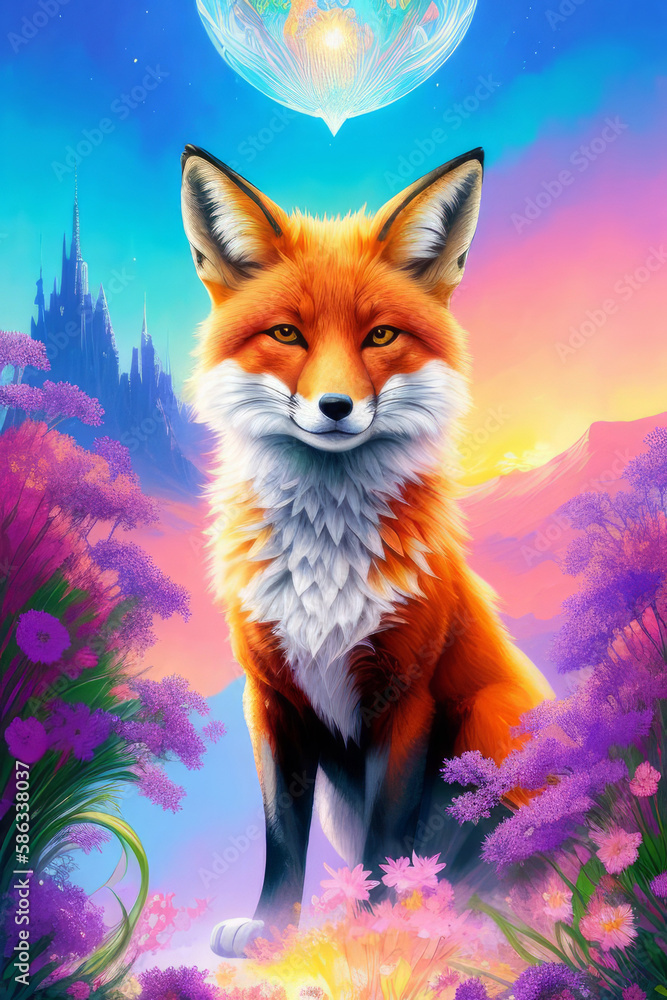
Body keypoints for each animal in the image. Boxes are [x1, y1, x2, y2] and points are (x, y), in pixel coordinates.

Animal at [180, 143, 553, 958]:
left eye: (379, 336)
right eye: (287, 335)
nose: (335, 407)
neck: (325, 560)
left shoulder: (403, 696)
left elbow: (389, 846)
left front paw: (374, 935)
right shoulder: (273, 698)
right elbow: (280, 838)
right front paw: (272, 932)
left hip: (493, 716)